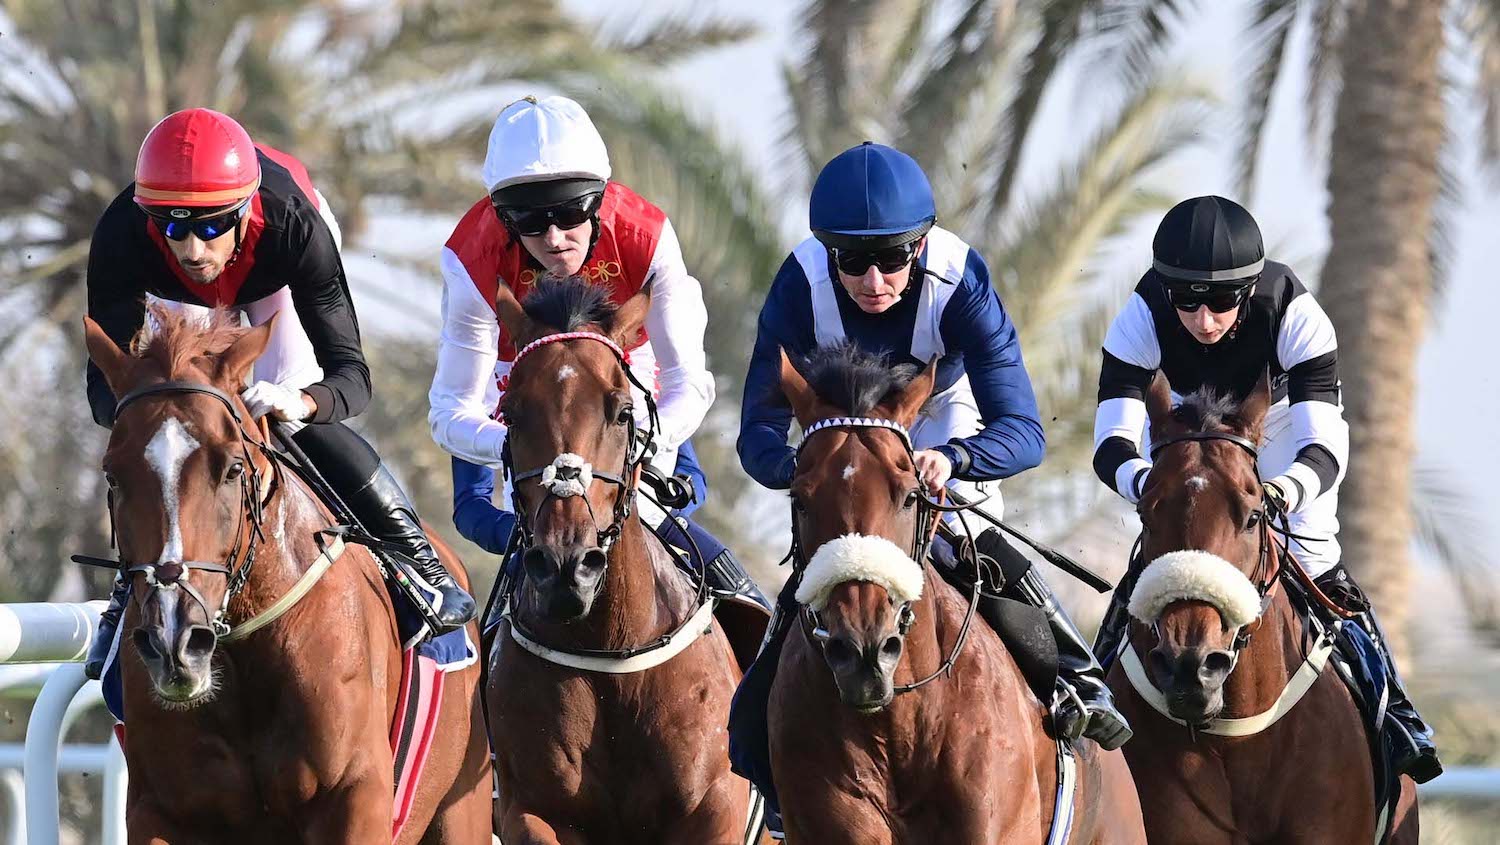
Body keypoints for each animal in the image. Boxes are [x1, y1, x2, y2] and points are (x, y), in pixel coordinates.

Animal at [82, 306, 492, 844]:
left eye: (233, 469)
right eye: (113, 475)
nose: (174, 638)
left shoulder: (355, 796)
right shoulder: (160, 809)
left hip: (460, 804)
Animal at [485, 276, 764, 845]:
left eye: (623, 412)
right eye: (512, 414)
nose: (567, 565)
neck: (611, 656)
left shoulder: (714, 807)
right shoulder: (532, 810)